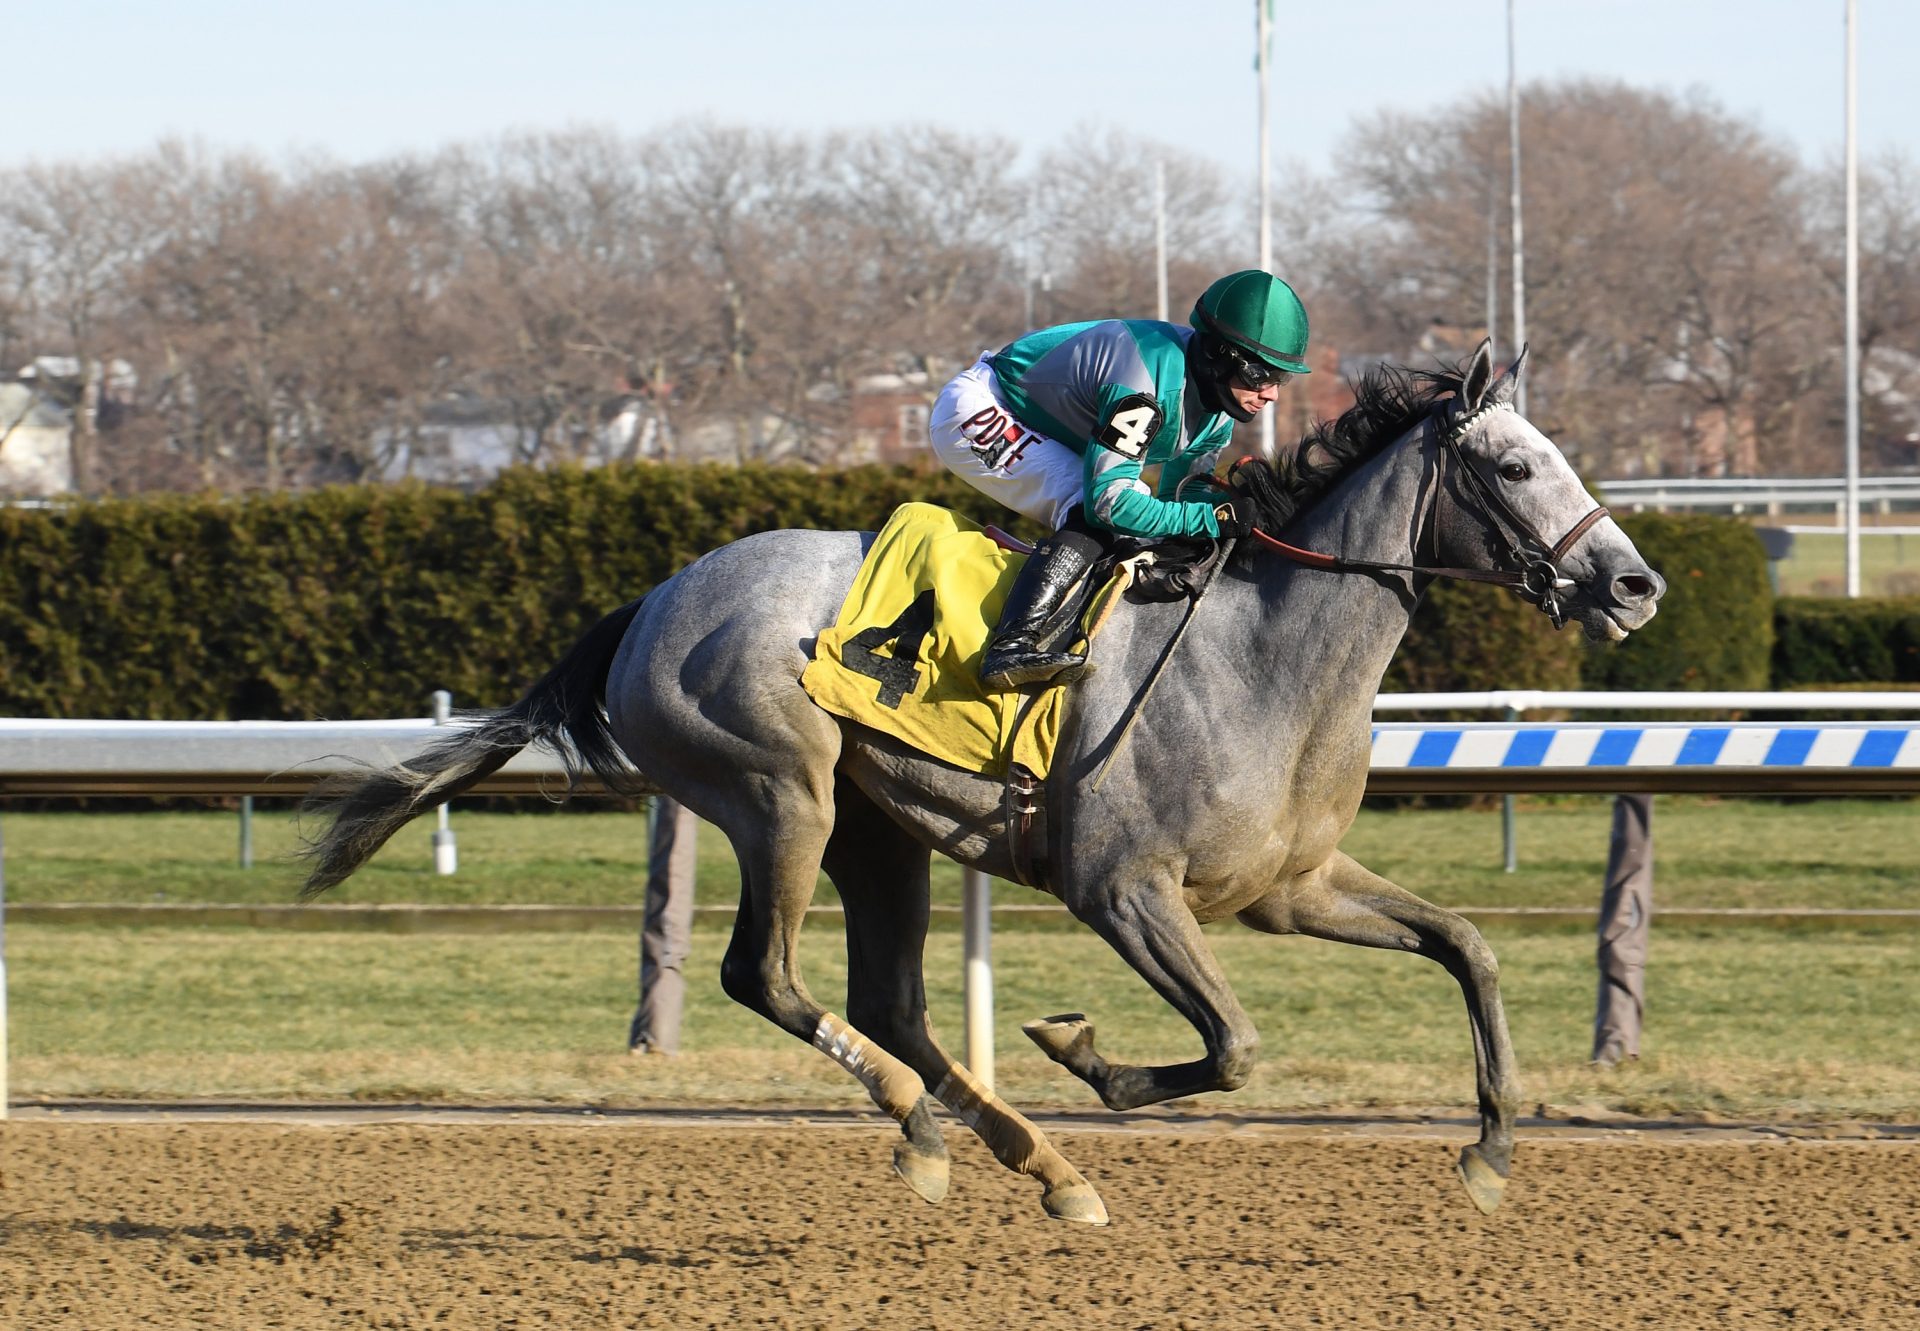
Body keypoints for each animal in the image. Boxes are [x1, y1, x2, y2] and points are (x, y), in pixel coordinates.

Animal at [299, 341, 1666, 1221]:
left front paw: (1490, 1153)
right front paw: (1082, 1048)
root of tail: (650, 600)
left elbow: (1467, 947)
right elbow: (1231, 1046)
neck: (1264, 654)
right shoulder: (1122, 889)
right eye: (1515, 467)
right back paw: (920, 1126)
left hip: (878, 829)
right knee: (765, 974)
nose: (1635, 583)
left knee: (890, 999)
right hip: (780, 792)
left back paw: (1045, 1167)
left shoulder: (1291, 885)